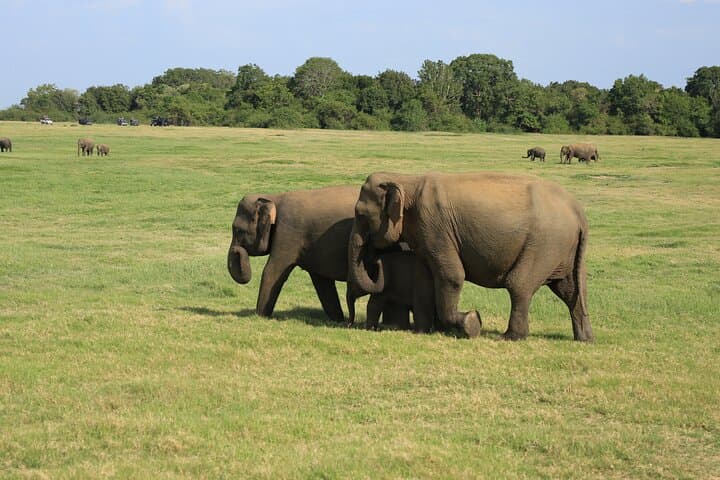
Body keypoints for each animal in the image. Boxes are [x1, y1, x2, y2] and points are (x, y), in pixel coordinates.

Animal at [227, 186, 406, 322]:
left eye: (237, 230)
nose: (237, 250)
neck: (274, 197)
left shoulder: (288, 234)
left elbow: (273, 271)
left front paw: (260, 316)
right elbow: (322, 282)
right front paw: (337, 320)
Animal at [348, 172, 593, 342]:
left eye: (360, 214)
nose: (375, 258)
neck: (407, 180)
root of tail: (578, 212)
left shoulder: (436, 227)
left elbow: (453, 276)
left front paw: (471, 323)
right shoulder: (426, 235)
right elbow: (426, 278)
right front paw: (425, 331)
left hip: (544, 243)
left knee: (519, 285)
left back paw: (509, 337)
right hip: (562, 249)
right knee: (569, 290)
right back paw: (585, 339)